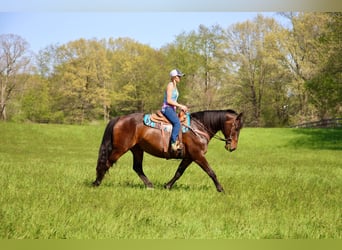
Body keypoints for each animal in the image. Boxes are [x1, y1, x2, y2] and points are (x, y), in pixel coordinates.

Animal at [93, 108, 243, 192]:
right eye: (236, 127)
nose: (233, 147)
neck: (198, 128)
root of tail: (120, 118)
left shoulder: (189, 157)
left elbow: (178, 173)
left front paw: (167, 186)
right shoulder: (198, 155)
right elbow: (211, 172)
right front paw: (220, 189)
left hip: (137, 150)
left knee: (137, 168)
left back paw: (150, 185)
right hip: (120, 148)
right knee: (106, 163)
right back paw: (96, 183)